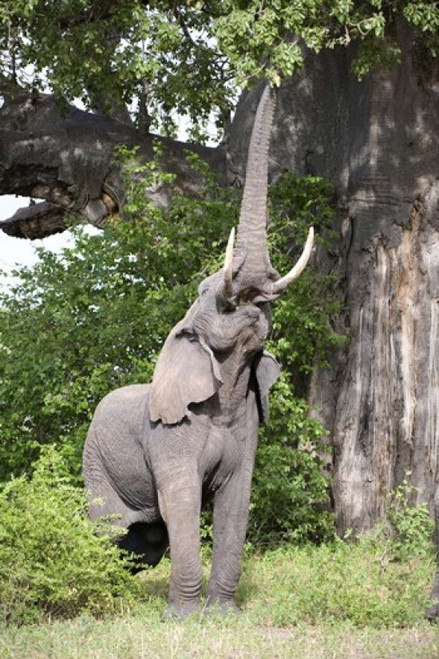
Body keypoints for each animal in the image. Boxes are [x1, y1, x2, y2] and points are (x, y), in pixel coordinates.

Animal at [82, 85, 314, 619]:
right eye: (215, 296)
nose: (274, 79)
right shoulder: (170, 434)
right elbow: (183, 501)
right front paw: (185, 619)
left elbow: (236, 501)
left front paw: (223, 615)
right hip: (95, 464)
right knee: (109, 532)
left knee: (146, 541)